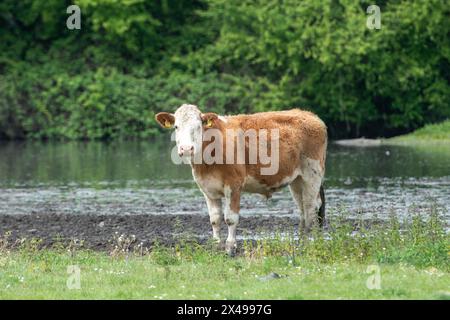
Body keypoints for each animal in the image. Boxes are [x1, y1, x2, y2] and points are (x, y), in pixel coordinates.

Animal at [156, 104, 328, 255]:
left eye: (199, 126)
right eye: (176, 127)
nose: (186, 149)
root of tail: (309, 114)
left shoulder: (234, 185)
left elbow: (230, 219)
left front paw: (230, 247)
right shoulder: (207, 189)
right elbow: (215, 219)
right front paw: (216, 246)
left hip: (312, 174)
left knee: (311, 207)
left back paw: (310, 244)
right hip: (296, 180)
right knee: (303, 208)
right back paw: (301, 241)